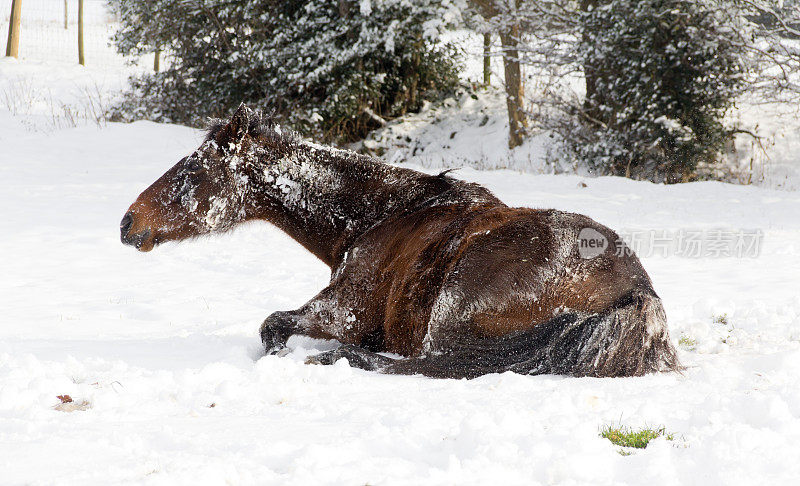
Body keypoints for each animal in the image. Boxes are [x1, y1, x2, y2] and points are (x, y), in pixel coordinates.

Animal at [122, 104, 680, 380]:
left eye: (193, 171)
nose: (127, 223)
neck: (377, 217)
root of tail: (638, 292)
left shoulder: (340, 312)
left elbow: (272, 326)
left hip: (451, 308)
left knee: (429, 366)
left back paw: (336, 360)